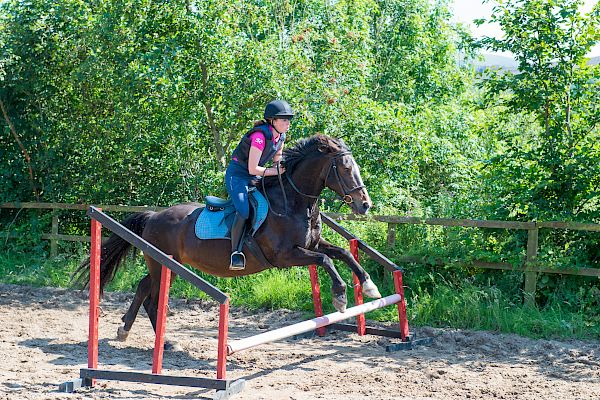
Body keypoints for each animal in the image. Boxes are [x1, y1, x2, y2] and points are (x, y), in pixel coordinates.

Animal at [71, 133, 380, 346]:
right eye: (344, 169)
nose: (365, 205)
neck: (291, 202)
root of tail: (153, 216)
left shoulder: (310, 245)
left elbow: (342, 253)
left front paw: (370, 286)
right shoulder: (286, 256)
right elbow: (326, 259)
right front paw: (340, 297)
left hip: (166, 263)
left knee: (144, 287)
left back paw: (125, 330)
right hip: (162, 263)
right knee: (153, 296)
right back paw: (162, 341)